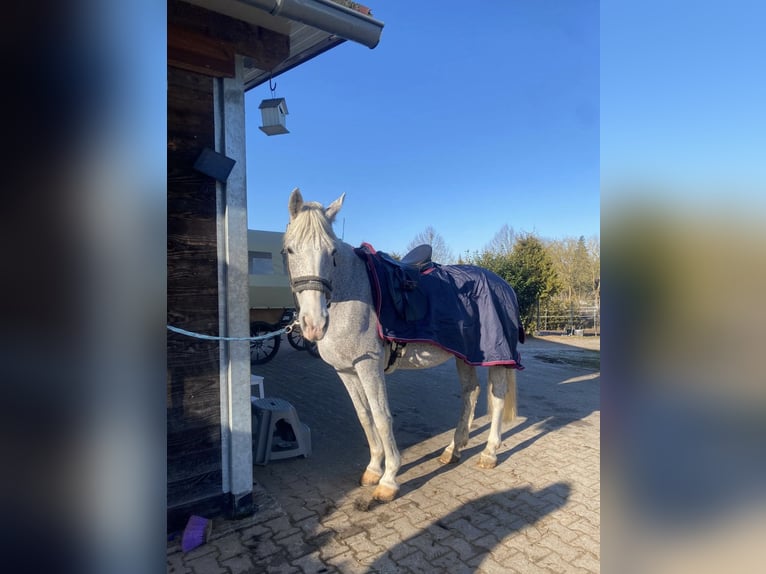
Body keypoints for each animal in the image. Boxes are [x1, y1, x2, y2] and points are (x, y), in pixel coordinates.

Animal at [284, 189, 524, 504]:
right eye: (290, 250)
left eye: (332, 252)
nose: (314, 323)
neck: (352, 294)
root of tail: (503, 284)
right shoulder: (346, 371)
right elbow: (365, 417)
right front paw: (373, 469)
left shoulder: (369, 365)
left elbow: (382, 417)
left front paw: (388, 479)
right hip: (465, 356)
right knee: (470, 393)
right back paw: (453, 450)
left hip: (496, 357)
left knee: (496, 397)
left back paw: (489, 453)